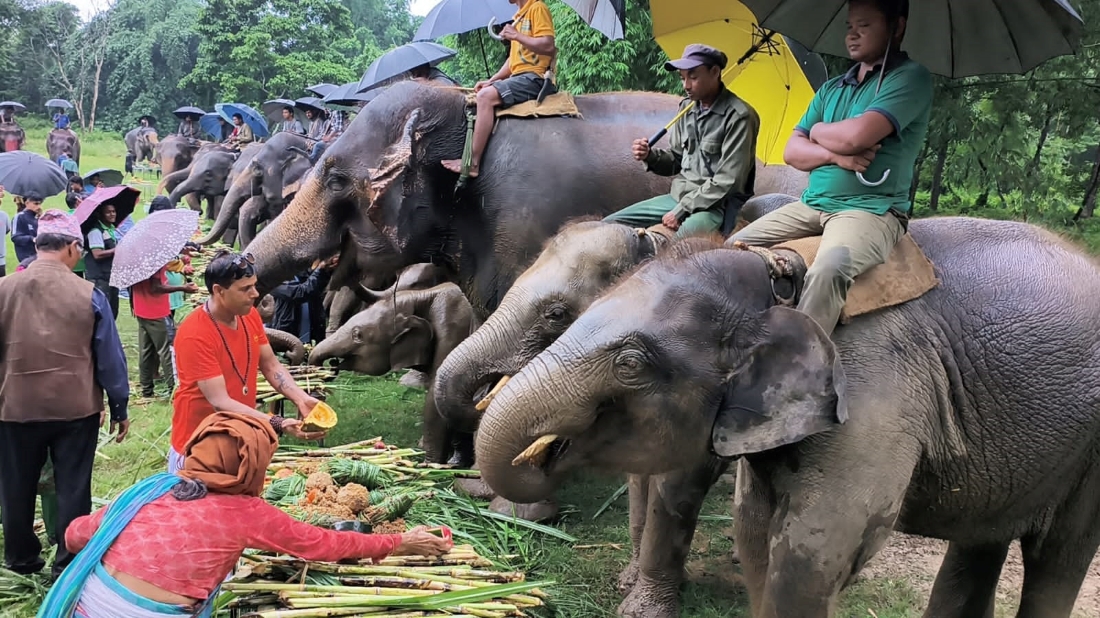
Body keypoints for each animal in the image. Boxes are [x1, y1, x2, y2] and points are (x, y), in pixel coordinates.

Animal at [308, 280, 475, 461]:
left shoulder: (454, 330)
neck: (420, 295)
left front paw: (431, 464)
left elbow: (438, 396)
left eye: (357, 334)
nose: (332, 363)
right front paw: (455, 462)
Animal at [475, 214, 1100, 611]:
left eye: (630, 363)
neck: (777, 276)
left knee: (1057, 556)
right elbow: (754, 528)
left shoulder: (877, 388)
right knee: (984, 537)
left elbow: (815, 549)